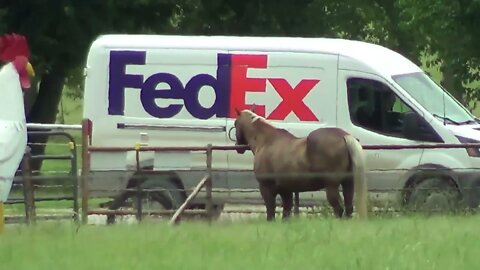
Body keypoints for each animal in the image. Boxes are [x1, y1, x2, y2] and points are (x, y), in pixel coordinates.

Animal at [234, 108, 370, 220]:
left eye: (235, 124)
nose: (237, 147)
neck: (267, 141)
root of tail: (344, 136)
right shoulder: (286, 191)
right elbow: (286, 214)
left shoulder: (266, 188)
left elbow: (271, 213)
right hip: (348, 183)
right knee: (348, 209)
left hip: (332, 186)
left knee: (339, 209)